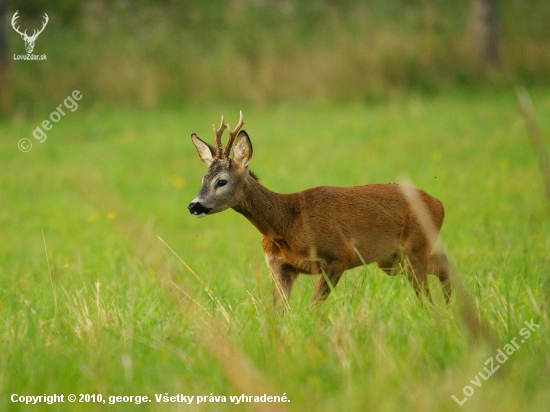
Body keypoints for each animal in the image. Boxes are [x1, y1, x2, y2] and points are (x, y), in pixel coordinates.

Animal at [190, 111, 452, 310]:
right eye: (203, 178)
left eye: (222, 181)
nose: (194, 205)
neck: (285, 223)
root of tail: (439, 204)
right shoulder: (280, 267)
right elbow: (277, 312)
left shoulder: (339, 255)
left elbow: (313, 308)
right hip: (391, 261)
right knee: (442, 263)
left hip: (414, 248)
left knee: (429, 292)